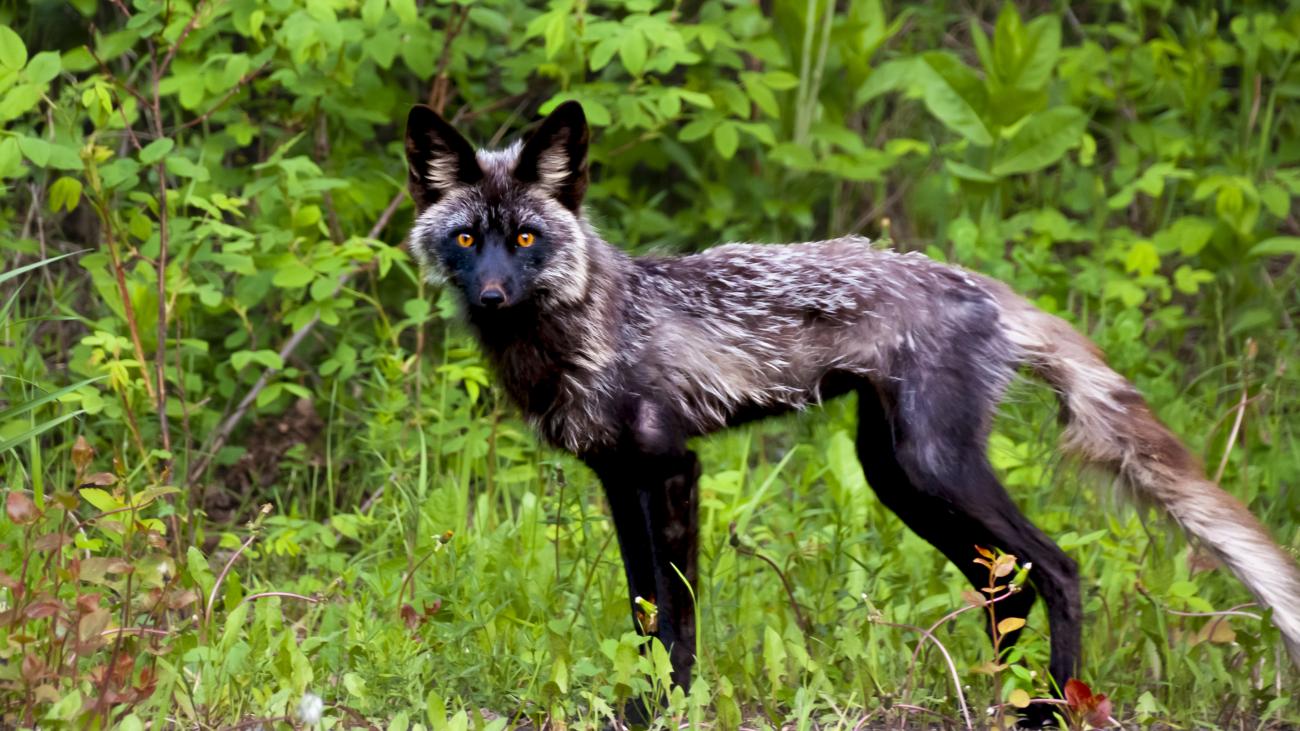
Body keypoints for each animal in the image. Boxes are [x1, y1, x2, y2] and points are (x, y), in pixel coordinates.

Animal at [402, 100, 1300, 722]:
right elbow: (644, 612)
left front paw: (673, 709)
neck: (587, 330)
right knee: (1008, 587)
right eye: (466, 239)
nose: (491, 295)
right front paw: (645, 706)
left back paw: (1050, 704)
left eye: (525, 239)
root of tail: (975, 281)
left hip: (936, 468)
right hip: (896, 476)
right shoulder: (620, 480)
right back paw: (1005, 701)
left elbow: (680, 619)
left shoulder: (673, 466)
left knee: (1060, 566)